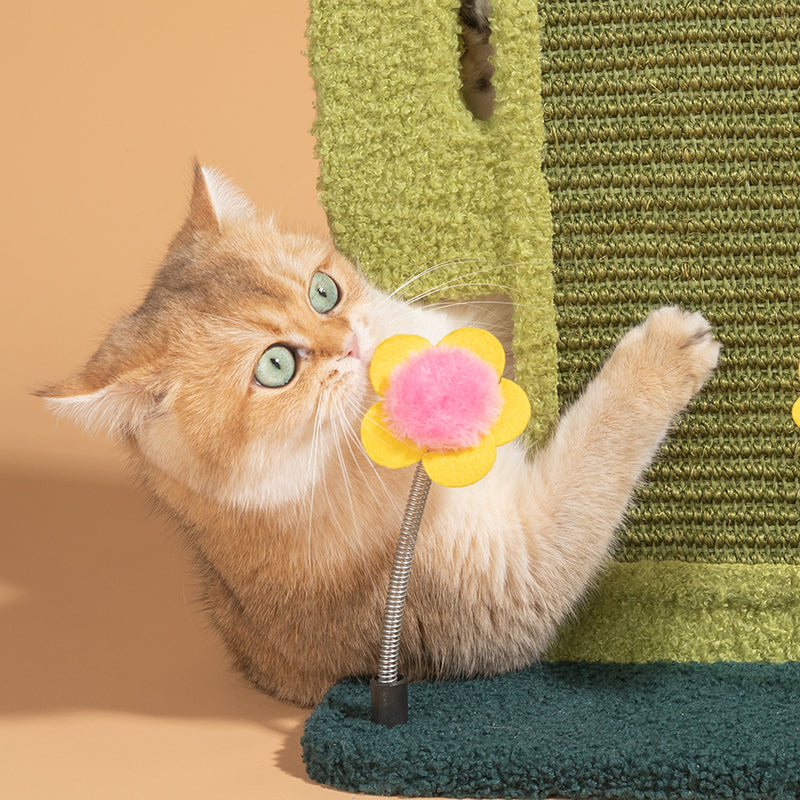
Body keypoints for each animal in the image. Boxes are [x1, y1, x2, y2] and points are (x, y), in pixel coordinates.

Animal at [39, 164, 720, 708]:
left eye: (324, 290)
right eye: (275, 366)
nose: (351, 343)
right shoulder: (506, 577)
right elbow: (594, 457)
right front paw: (666, 352)